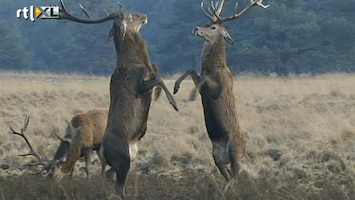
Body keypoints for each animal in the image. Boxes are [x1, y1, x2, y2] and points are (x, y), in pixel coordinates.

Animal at [57, 1, 179, 198]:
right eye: (128, 16)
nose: (144, 15)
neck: (135, 60)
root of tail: (104, 150)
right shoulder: (139, 86)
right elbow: (158, 77)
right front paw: (174, 103)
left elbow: (157, 68)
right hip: (123, 160)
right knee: (117, 184)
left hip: (125, 159)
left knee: (108, 174)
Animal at [173, 0, 270, 194]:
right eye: (207, 22)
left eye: (213, 27)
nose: (195, 28)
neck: (214, 67)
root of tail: (244, 150)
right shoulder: (201, 76)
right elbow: (191, 70)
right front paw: (176, 87)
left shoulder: (218, 87)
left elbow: (202, 81)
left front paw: (191, 96)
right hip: (216, 156)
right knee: (229, 174)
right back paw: (225, 190)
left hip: (234, 151)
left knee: (236, 174)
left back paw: (224, 191)